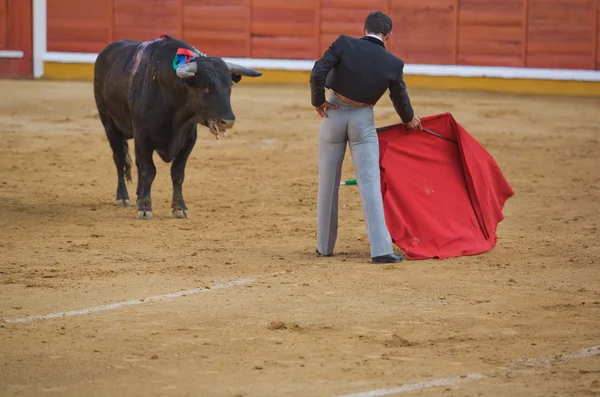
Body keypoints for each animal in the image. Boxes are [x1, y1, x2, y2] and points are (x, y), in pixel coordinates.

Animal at [94, 34, 262, 218]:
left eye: (229, 87)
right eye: (206, 87)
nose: (228, 120)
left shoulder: (188, 139)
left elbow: (177, 173)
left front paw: (179, 208)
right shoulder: (143, 138)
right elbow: (148, 171)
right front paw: (145, 208)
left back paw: (138, 196)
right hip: (109, 124)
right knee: (119, 159)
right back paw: (123, 197)